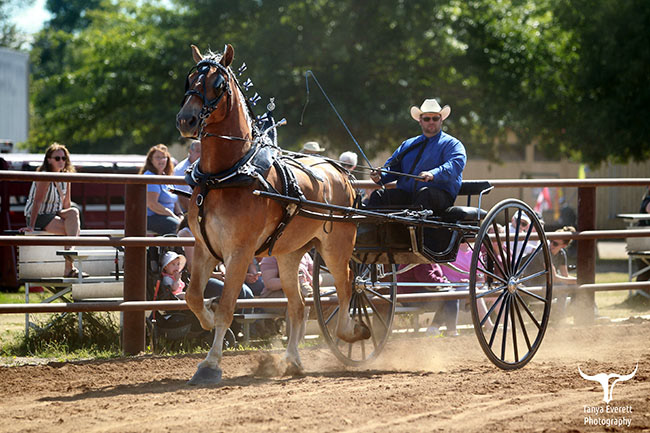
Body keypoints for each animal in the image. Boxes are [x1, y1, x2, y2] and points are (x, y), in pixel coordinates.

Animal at [176, 44, 369, 385]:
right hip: (290, 254)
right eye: (189, 79)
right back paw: (292, 360)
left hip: (337, 245)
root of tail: (341, 172)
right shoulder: (204, 248)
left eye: (218, 84)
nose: (186, 120)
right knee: (299, 306)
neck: (226, 175)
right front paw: (207, 320)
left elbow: (227, 307)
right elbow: (194, 297)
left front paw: (211, 364)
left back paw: (348, 331)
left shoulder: (239, 252)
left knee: (347, 283)